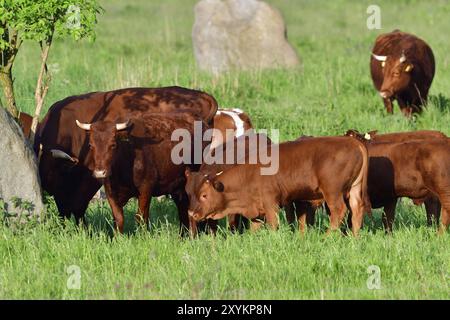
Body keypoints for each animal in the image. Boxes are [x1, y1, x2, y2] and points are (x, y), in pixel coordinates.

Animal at [186, 136, 370, 236]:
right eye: (190, 194)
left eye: (204, 195)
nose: (191, 213)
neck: (250, 173)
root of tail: (354, 142)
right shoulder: (256, 210)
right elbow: (255, 228)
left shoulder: (271, 203)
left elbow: (274, 225)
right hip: (354, 189)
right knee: (356, 210)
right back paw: (354, 238)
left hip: (333, 191)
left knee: (339, 211)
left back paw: (327, 237)